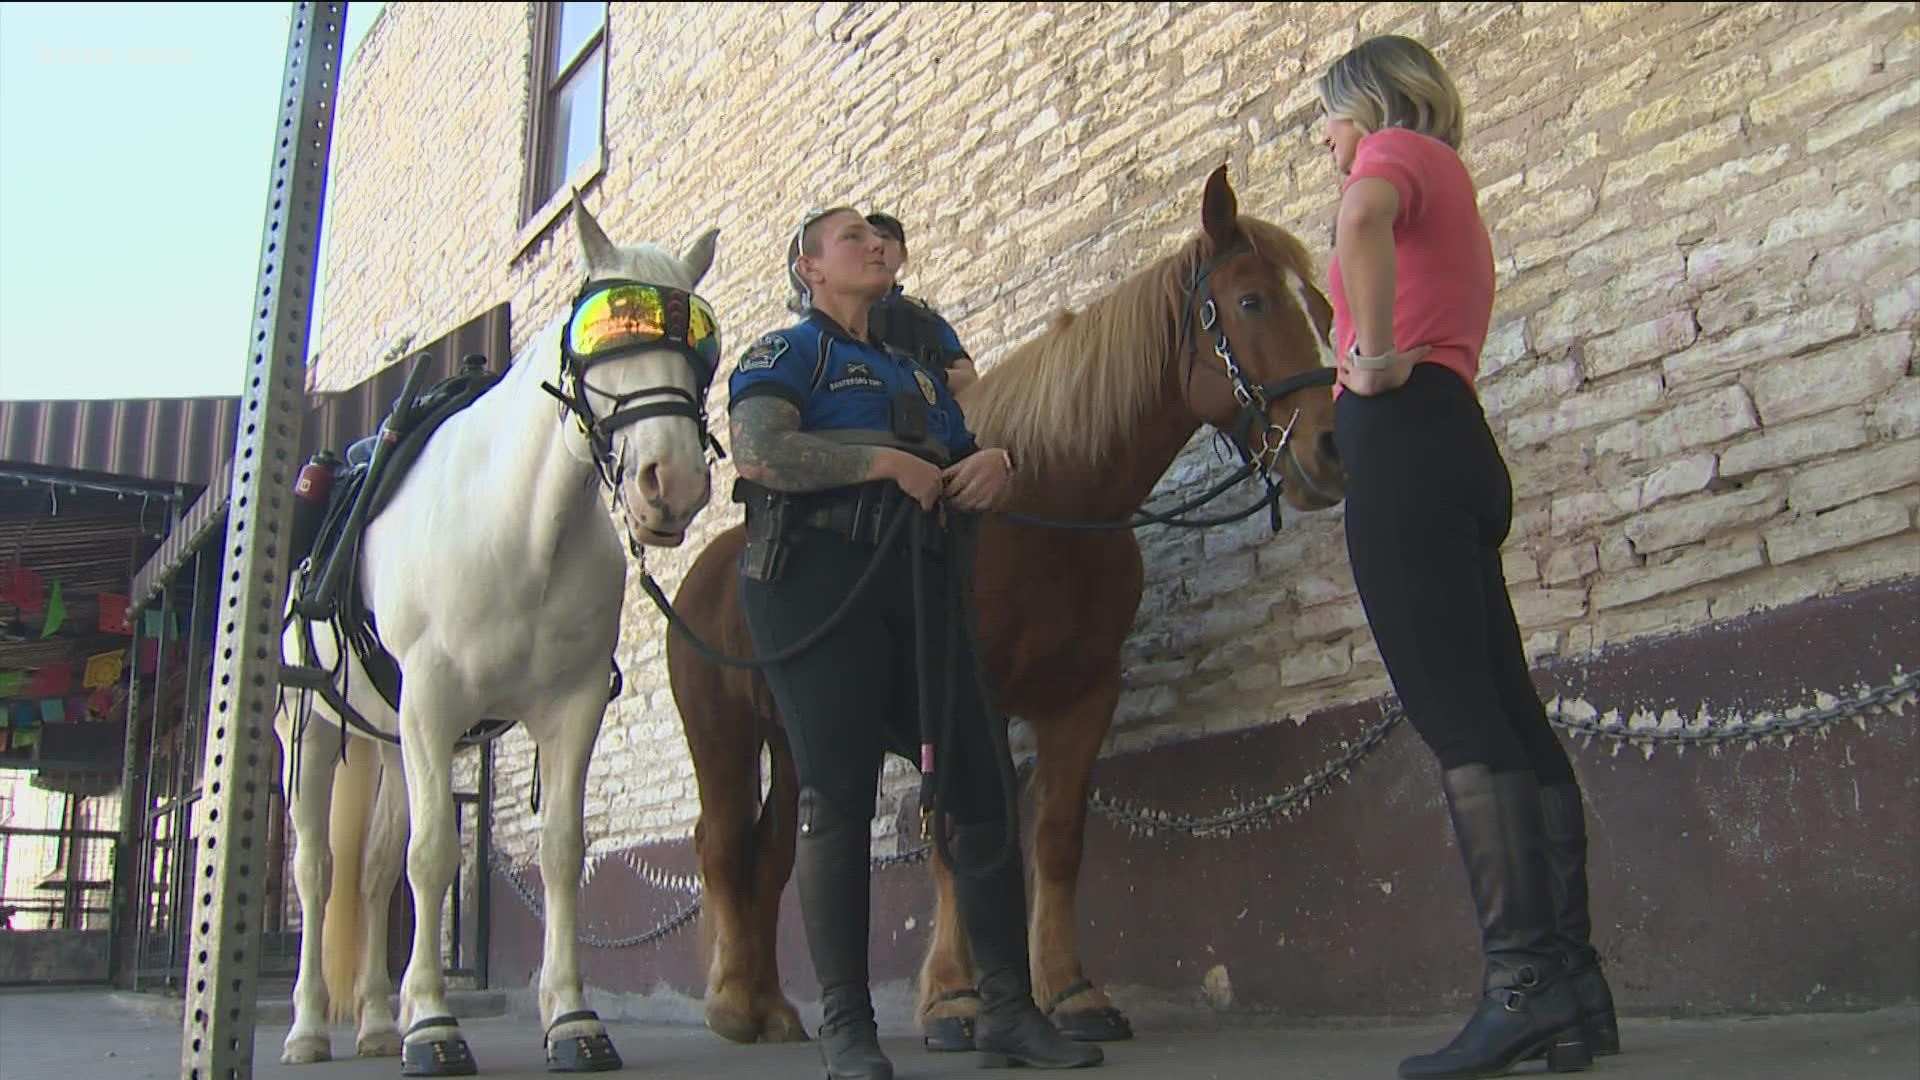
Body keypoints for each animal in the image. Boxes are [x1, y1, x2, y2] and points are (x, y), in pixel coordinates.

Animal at [270, 199, 721, 1068]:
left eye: (701, 346)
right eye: (605, 328)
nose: (672, 484)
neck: (520, 527)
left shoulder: (571, 709)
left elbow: (561, 853)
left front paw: (572, 1017)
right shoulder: (432, 707)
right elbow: (435, 858)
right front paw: (434, 1026)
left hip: (387, 739)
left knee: (372, 871)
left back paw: (375, 1022)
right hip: (312, 738)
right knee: (315, 868)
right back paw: (311, 1026)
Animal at [668, 166, 1344, 1045]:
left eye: (1319, 304)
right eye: (1254, 301)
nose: (1330, 448)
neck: (1047, 508)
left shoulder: (1084, 698)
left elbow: (1054, 839)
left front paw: (1068, 989)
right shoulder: (957, 700)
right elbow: (956, 839)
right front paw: (956, 999)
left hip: (795, 738)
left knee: (777, 851)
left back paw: (772, 1006)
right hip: (723, 733)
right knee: (718, 845)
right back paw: (728, 1001)